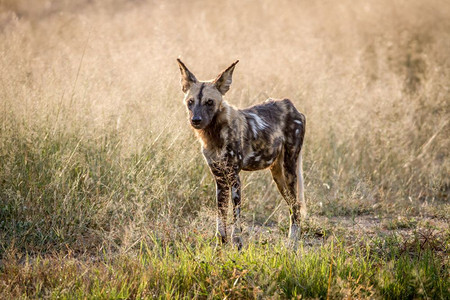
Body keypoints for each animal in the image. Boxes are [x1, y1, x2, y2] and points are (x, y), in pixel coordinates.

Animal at [176, 59, 306, 248]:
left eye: (209, 102)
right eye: (190, 102)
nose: (196, 120)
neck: (214, 135)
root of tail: (292, 106)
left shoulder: (234, 178)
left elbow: (235, 220)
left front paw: (237, 244)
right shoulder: (220, 180)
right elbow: (221, 218)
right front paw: (220, 246)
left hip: (289, 171)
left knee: (296, 208)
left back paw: (292, 244)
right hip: (278, 176)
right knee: (292, 206)